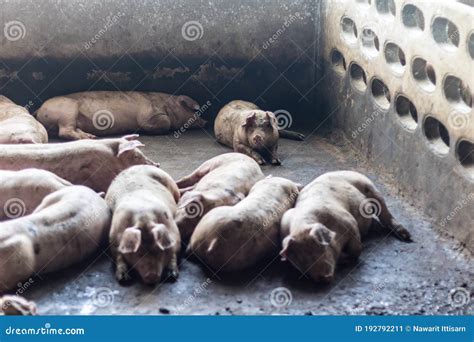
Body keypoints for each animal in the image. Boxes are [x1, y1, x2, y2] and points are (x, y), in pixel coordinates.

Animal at [36, 91, 206, 140]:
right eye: (194, 110)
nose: (205, 120)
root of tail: (39, 109)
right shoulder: (148, 114)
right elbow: (164, 122)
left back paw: (91, 136)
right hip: (68, 110)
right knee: (64, 131)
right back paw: (89, 138)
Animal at [282, 171, 412, 284]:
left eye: (320, 247)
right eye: (300, 260)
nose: (324, 277)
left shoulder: (349, 222)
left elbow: (357, 249)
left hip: (370, 187)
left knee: (385, 214)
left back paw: (406, 236)